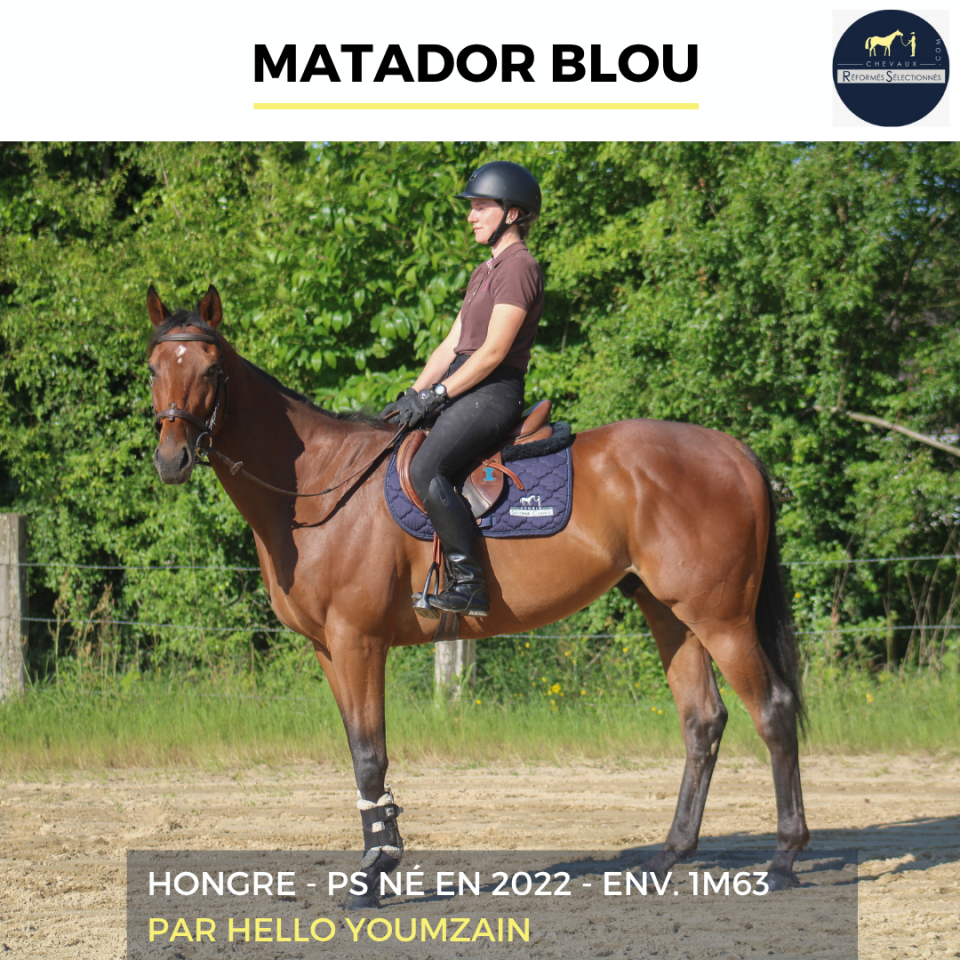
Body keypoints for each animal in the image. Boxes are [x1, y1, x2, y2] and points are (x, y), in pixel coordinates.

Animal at [147, 284, 809, 904]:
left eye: (211, 370)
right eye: (154, 368)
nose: (171, 460)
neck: (320, 488)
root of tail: (733, 450)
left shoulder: (358, 641)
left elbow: (370, 755)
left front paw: (374, 873)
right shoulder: (327, 649)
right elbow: (361, 756)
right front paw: (382, 855)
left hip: (720, 617)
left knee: (773, 711)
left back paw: (783, 857)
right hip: (671, 614)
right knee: (703, 721)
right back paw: (669, 855)